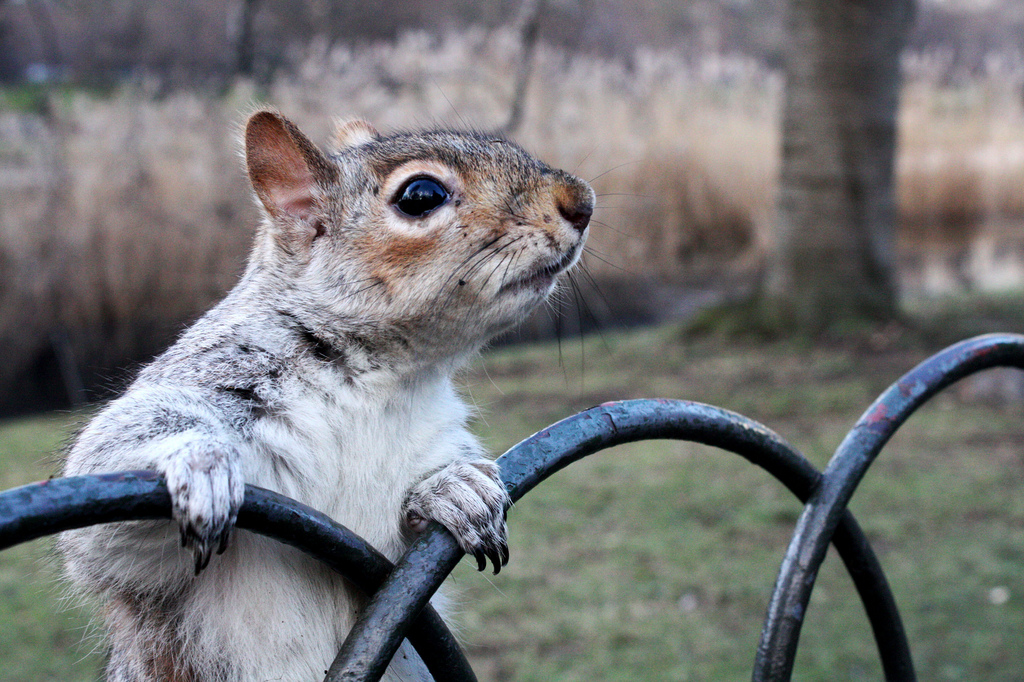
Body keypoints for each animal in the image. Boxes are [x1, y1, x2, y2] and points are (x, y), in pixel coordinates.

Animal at [58, 110, 594, 682]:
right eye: (420, 196)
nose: (582, 201)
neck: (381, 380)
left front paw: (453, 489)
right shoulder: (211, 378)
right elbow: (107, 513)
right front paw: (201, 464)